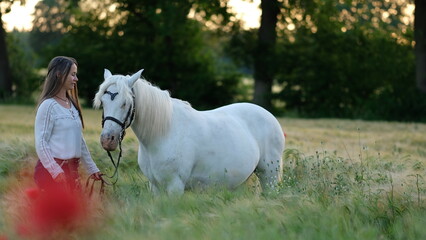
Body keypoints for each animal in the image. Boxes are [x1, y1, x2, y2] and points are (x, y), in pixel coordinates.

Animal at [94, 68, 286, 194]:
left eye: (125, 103)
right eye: (103, 101)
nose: (107, 140)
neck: (162, 135)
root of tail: (269, 116)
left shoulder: (175, 186)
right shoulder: (155, 187)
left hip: (269, 175)